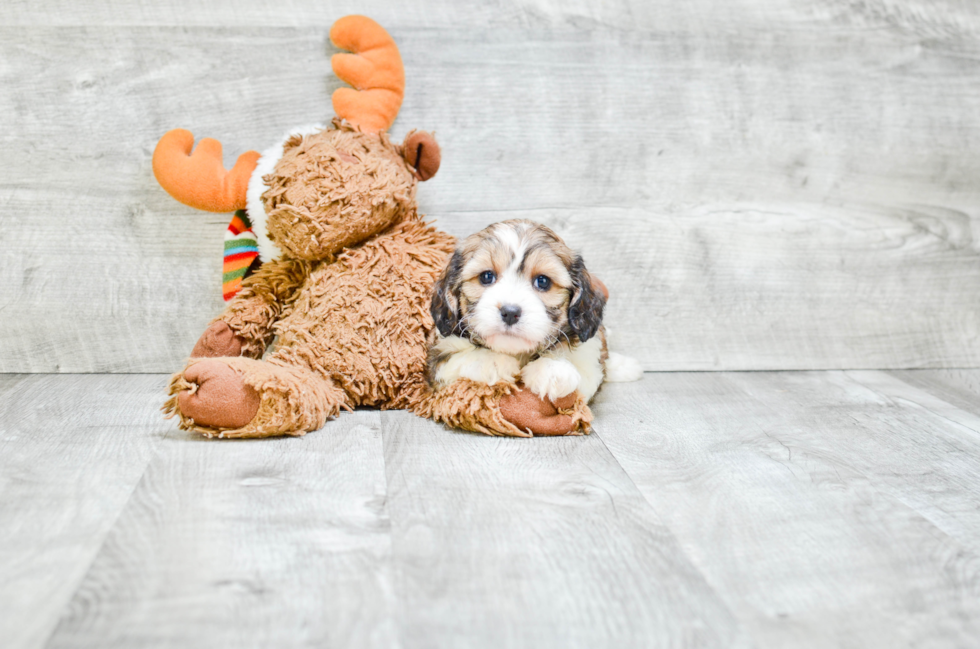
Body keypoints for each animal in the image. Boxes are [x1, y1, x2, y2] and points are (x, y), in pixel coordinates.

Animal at [428, 220, 644, 402]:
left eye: (543, 281)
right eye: (486, 277)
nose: (510, 312)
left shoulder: (589, 351)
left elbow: (586, 368)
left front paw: (551, 370)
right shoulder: (438, 359)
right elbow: (456, 359)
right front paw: (494, 362)